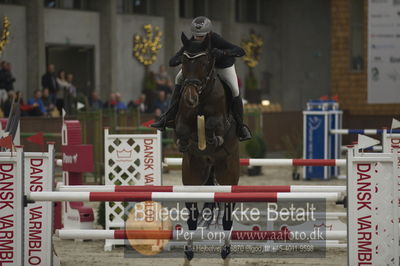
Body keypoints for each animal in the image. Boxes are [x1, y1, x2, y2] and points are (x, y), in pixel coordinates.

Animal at [173, 32, 239, 260]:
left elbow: (213, 126)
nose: (190, 98)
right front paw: (186, 142)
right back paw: (189, 250)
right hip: (192, 175)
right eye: (184, 62)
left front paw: (210, 138)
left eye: (203, 62)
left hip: (228, 174)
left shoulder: (221, 122)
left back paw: (226, 250)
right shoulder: (182, 121)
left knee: (227, 216)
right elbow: (182, 130)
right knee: (192, 217)